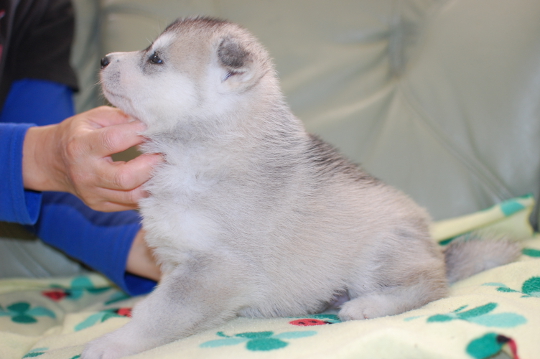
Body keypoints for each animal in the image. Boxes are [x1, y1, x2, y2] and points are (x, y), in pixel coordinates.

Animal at [84, 17, 520, 359]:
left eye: (156, 59)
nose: (103, 59)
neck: (201, 153)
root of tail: (436, 251)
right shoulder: (177, 259)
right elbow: (157, 300)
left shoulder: (213, 268)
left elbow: (161, 315)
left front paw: (114, 343)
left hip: (380, 254)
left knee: (431, 287)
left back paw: (368, 305)